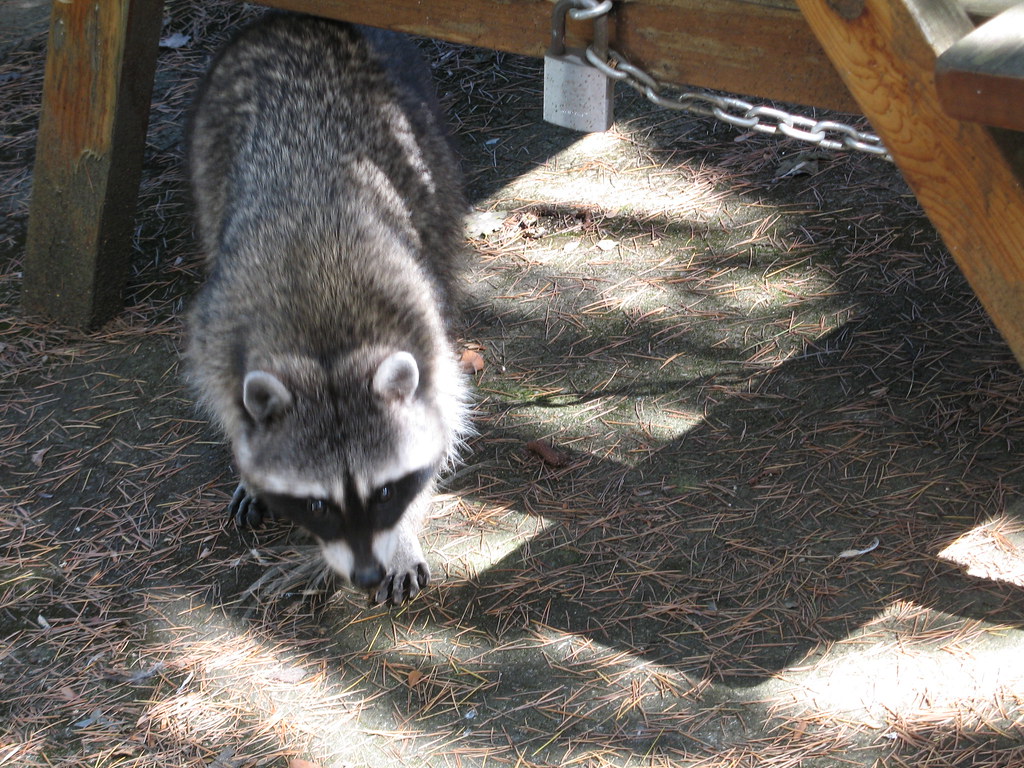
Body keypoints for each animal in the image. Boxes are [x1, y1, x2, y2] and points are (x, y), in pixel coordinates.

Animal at [185, 13, 470, 605]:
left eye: (385, 491)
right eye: (318, 504)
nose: (366, 574)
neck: (327, 352)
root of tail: (293, 18)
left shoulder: (423, 330)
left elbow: (445, 418)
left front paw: (403, 533)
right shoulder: (218, 333)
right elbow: (227, 401)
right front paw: (249, 467)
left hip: (425, 138)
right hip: (208, 139)